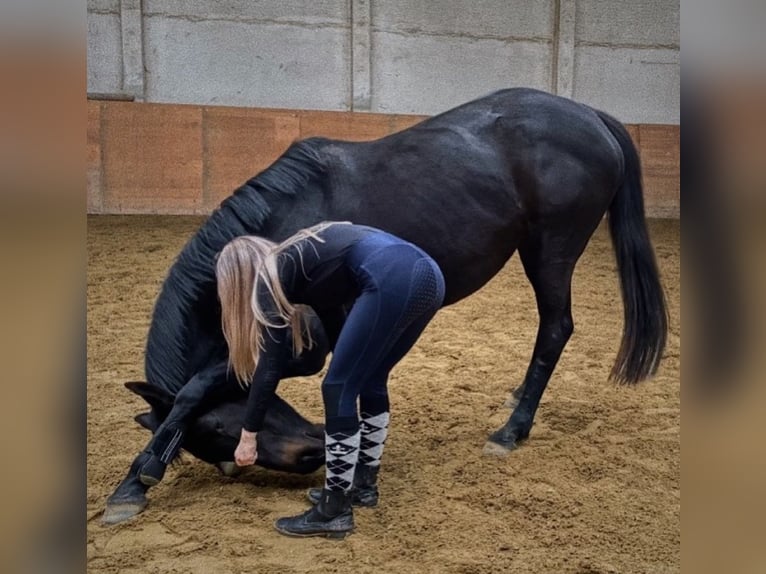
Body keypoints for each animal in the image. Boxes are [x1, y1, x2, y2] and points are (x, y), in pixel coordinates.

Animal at [102, 88, 664, 524]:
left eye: (218, 431)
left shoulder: (309, 344)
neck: (289, 217)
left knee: (555, 328)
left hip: (551, 251)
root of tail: (592, 116)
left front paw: (136, 481)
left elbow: (196, 387)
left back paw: (511, 431)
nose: (309, 454)